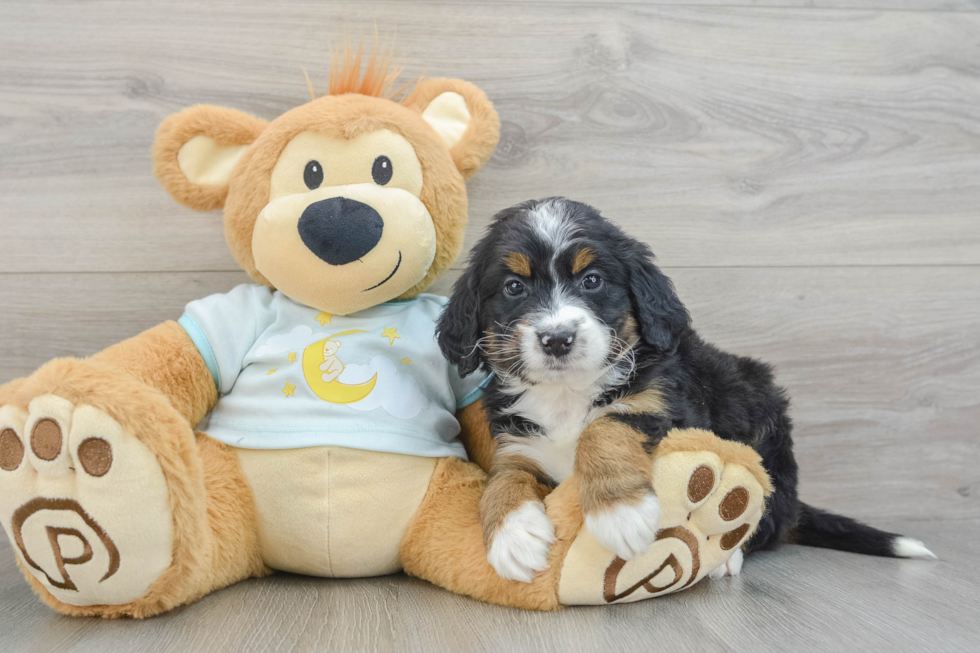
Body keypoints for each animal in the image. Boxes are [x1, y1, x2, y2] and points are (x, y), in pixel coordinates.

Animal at [438, 197, 936, 580]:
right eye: (513, 287)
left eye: (592, 280)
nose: (557, 339)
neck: (567, 394)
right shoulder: (519, 443)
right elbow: (503, 479)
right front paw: (513, 536)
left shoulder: (665, 407)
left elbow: (607, 426)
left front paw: (619, 513)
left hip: (765, 429)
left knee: (764, 519)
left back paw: (727, 558)